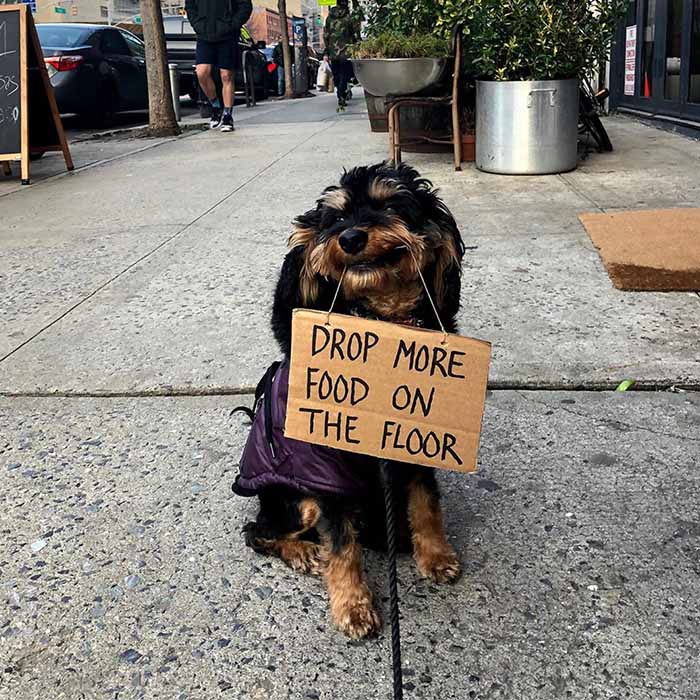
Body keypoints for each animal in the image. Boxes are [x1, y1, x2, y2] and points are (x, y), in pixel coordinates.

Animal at [239, 163, 464, 640]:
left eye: (391, 204)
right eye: (335, 218)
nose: (351, 238)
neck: (381, 323)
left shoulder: (415, 442)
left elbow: (427, 504)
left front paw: (435, 556)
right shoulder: (325, 471)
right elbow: (342, 545)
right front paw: (353, 607)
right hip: (296, 501)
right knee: (259, 531)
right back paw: (303, 552)